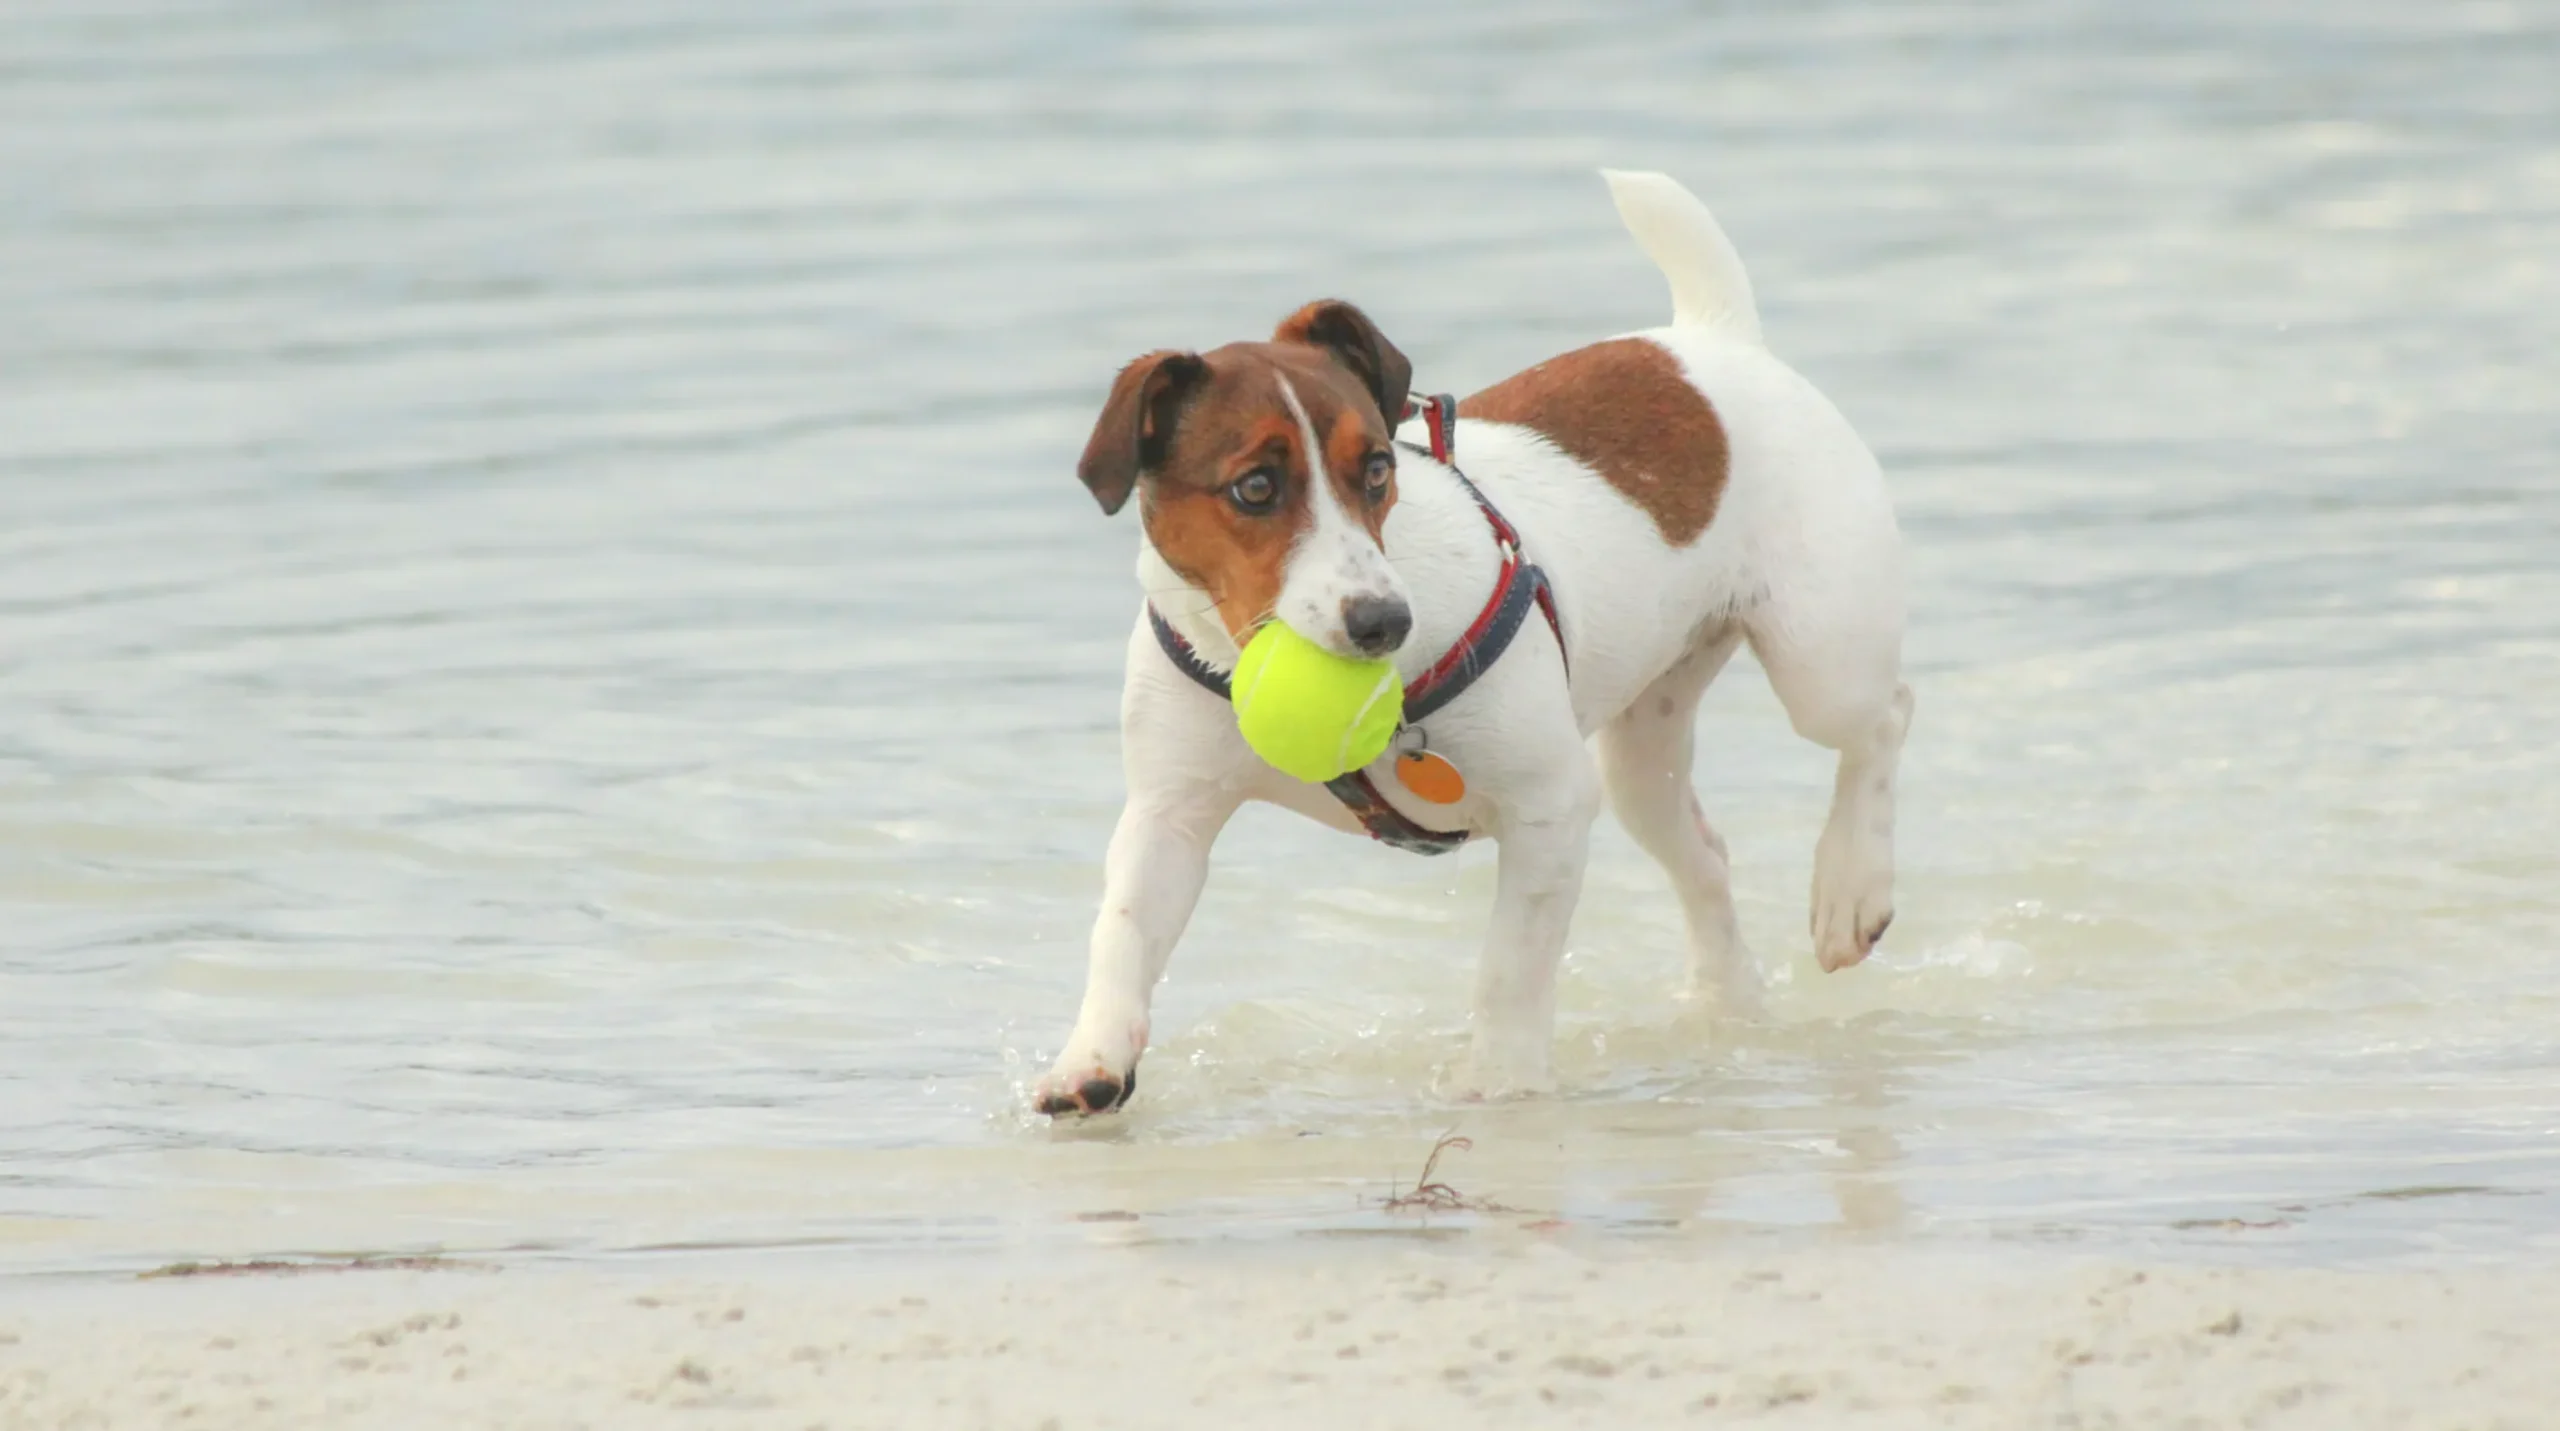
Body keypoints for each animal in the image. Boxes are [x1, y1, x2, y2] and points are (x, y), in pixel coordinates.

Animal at [1034, 170, 1904, 1121]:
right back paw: (1726, 1005)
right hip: (1641, 756)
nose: (1384, 622)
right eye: (1254, 487)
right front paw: (1091, 1058)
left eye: (1378, 468)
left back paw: (1852, 884)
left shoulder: (1550, 809)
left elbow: (1509, 971)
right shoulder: (1170, 815)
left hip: (1819, 658)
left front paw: (1500, 1082)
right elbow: (1122, 933)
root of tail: (1711, 340)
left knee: (1881, 723)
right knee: (1704, 856)